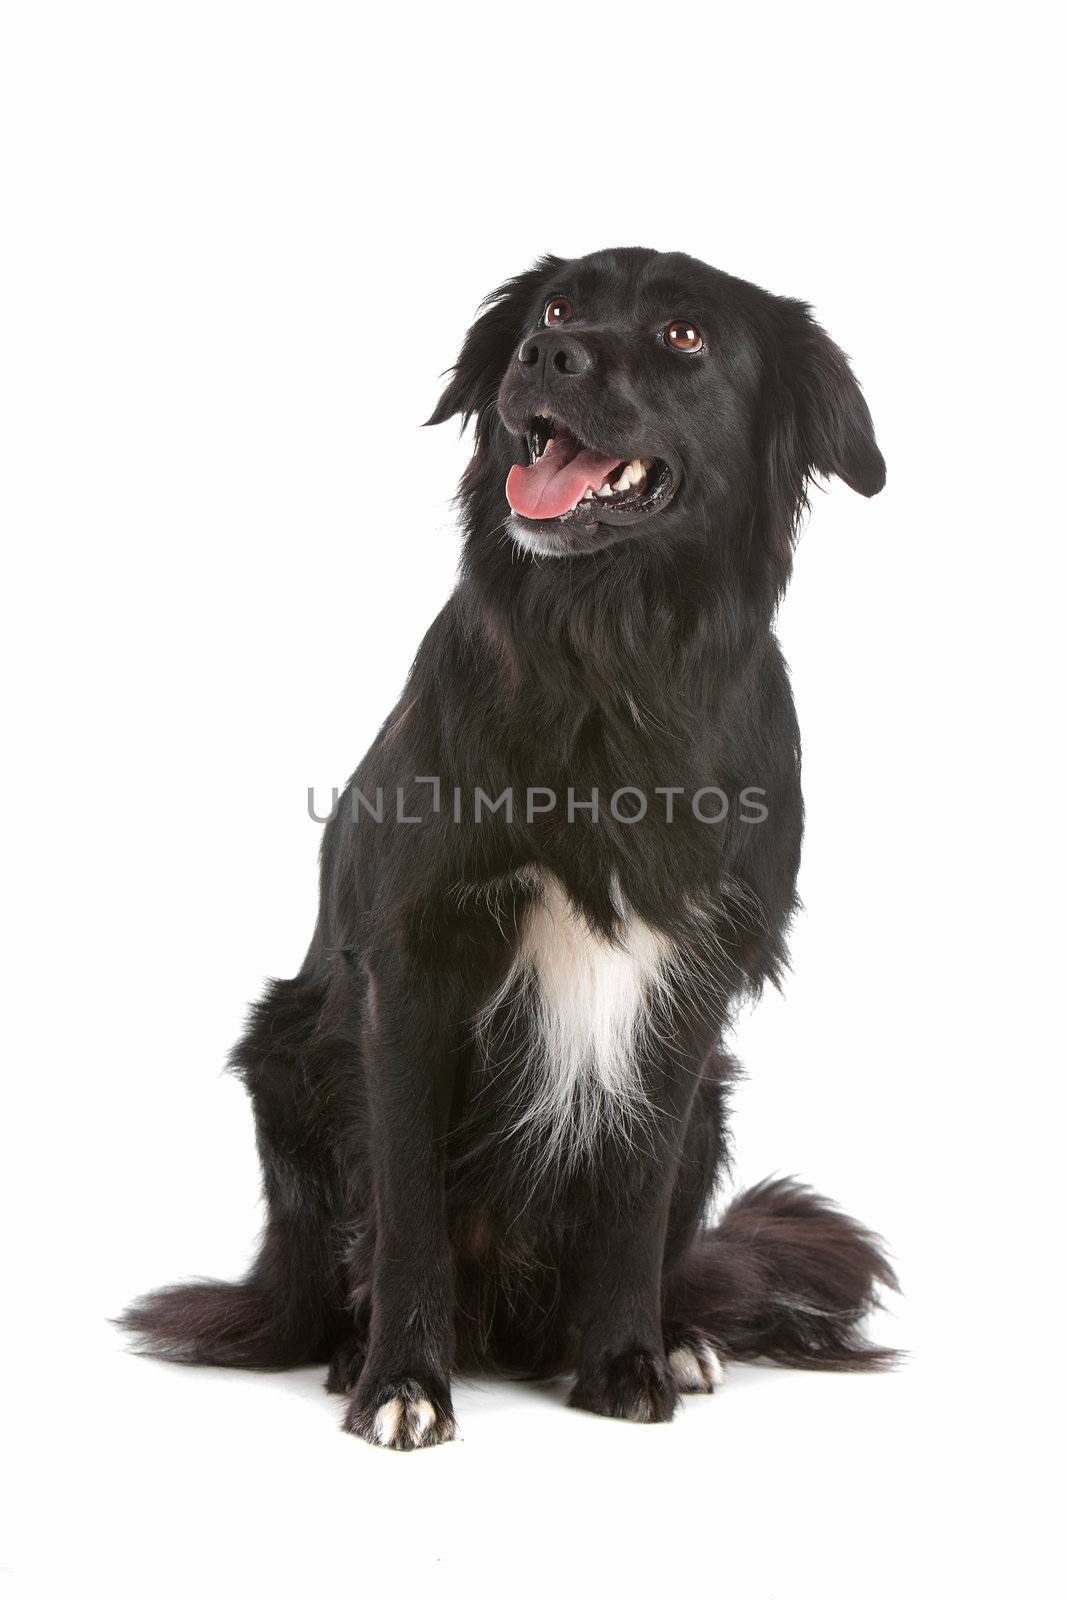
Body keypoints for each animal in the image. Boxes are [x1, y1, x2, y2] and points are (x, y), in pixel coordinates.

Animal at [123, 243, 895, 1446]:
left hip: (712, 1096)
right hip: (285, 1055)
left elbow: (633, 1206)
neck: (612, 654)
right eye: (557, 304)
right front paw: (400, 1380)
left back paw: (676, 1332)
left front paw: (626, 1360)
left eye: (685, 336)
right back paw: (349, 1351)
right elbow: (408, 1214)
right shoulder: (410, 968)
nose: (544, 353)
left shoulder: (689, 987)